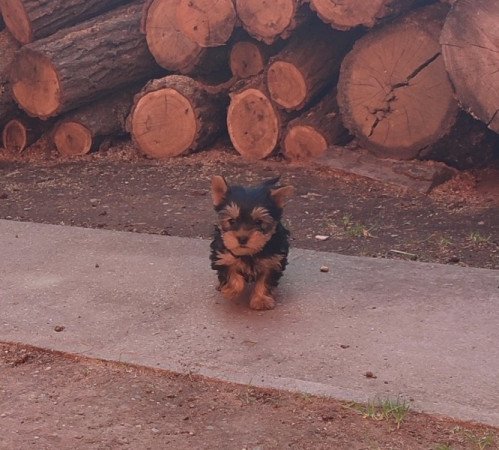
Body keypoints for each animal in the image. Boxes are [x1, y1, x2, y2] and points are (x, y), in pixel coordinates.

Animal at [210, 175, 294, 310]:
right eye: (232, 221)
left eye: (259, 222)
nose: (242, 238)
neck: (249, 254)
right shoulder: (223, 258)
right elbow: (233, 276)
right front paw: (231, 290)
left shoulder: (272, 262)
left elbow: (265, 280)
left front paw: (261, 300)